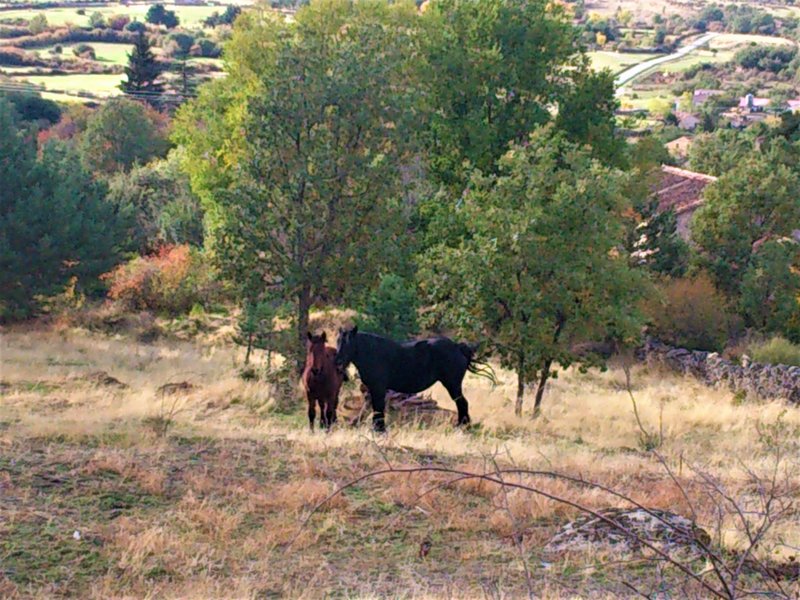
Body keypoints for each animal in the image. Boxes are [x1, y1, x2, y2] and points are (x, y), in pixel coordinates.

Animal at [336, 328, 482, 432]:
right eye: (338, 341)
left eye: (348, 343)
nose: (338, 362)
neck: (372, 353)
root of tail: (458, 347)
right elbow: (372, 407)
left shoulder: (378, 388)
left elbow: (378, 407)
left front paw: (379, 430)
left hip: (453, 385)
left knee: (462, 403)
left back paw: (462, 427)